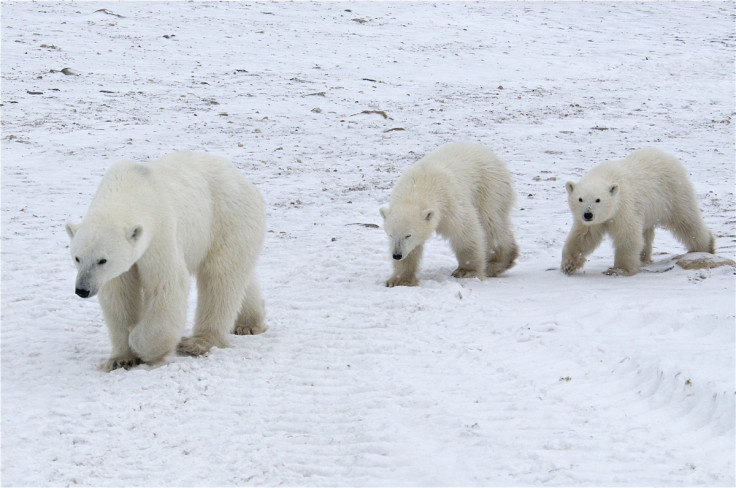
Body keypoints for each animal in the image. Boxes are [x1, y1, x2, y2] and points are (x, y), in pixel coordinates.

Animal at [66, 151, 268, 372]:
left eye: (102, 260)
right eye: (77, 258)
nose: (82, 290)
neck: (131, 189)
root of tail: (244, 181)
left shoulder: (159, 232)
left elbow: (166, 284)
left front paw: (139, 342)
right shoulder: (121, 268)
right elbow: (119, 296)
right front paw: (121, 358)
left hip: (226, 220)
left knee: (219, 278)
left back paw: (197, 343)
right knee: (240, 276)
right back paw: (248, 324)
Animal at [380, 142, 516, 286]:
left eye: (408, 235)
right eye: (390, 234)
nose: (396, 255)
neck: (418, 186)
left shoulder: (449, 202)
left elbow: (465, 231)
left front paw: (466, 271)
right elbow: (412, 250)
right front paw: (399, 280)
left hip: (489, 187)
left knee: (491, 222)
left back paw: (496, 263)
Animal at [564, 147, 712, 276]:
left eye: (598, 200)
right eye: (580, 199)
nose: (588, 214)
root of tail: (668, 156)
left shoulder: (624, 207)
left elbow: (627, 235)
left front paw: (620, 269)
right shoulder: (593, 221)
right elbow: (584, 237)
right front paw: (568, 265)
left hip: (673, 195)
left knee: (687, 221)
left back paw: (706, 247)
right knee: (646, 233)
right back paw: (644, 258)